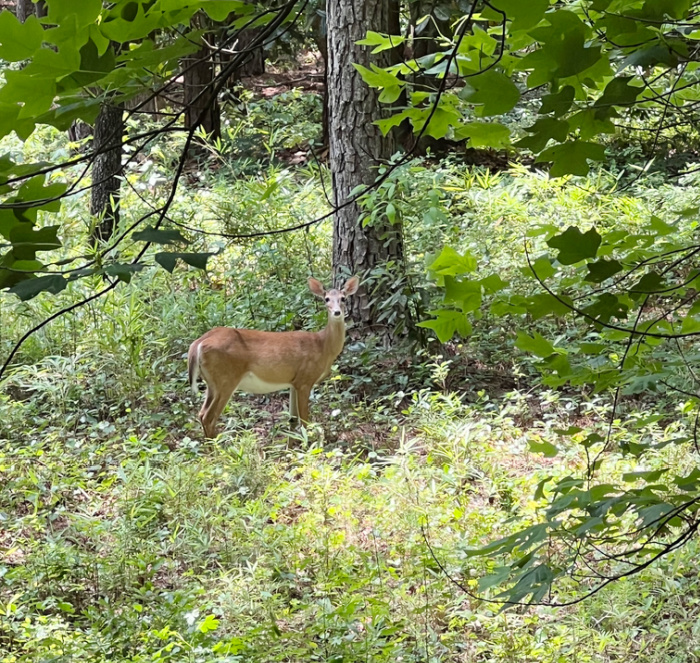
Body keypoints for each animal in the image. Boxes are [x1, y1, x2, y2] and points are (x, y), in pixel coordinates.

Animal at [187, 276, 360, 438]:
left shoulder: (294, 382)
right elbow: (305, 421)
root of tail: (197, 343)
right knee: (209, 417)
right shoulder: (305, 379)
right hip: (226, 379)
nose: (337, 312)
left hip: (212, 382)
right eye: (326, 299)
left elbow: (293, 419)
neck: (323, 346)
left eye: (343, 298)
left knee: (201, 414)